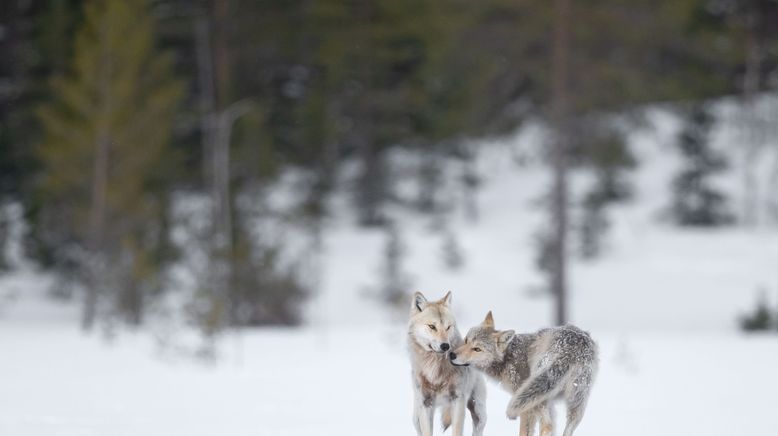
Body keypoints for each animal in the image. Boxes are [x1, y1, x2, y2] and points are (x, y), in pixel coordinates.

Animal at [406, 292, 484, 436]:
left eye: (448, 327)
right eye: (432, 326)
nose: (445, 346)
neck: (435, 369)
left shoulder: (457, 400)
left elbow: (457, 431)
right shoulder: (425, 404)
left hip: (478, 411)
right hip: (416, 418)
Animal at [446, 310, 596, 436]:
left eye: (477, 349)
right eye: (466, 340)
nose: (452, 355)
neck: (508, 357)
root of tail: (573, 346)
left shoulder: (526, 409)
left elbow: (525, 431)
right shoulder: (550, 404)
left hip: (536, 398)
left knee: (547, 426)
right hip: (574, 405)